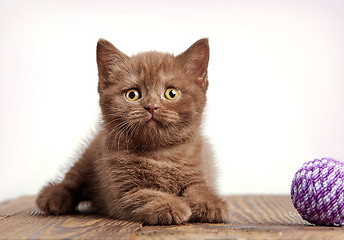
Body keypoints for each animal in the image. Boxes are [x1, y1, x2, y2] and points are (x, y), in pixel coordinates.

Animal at [35, 38, 228, 225]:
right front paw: (171, 205)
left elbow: (199, 188)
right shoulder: (123, 190)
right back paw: (53, 197)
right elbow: (146, 194)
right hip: (88, 157)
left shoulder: (199, 169)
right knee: (72, 181)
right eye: (132, 94)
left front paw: (212, 204)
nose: (152, 106)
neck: (160, 155)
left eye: (171, 93)